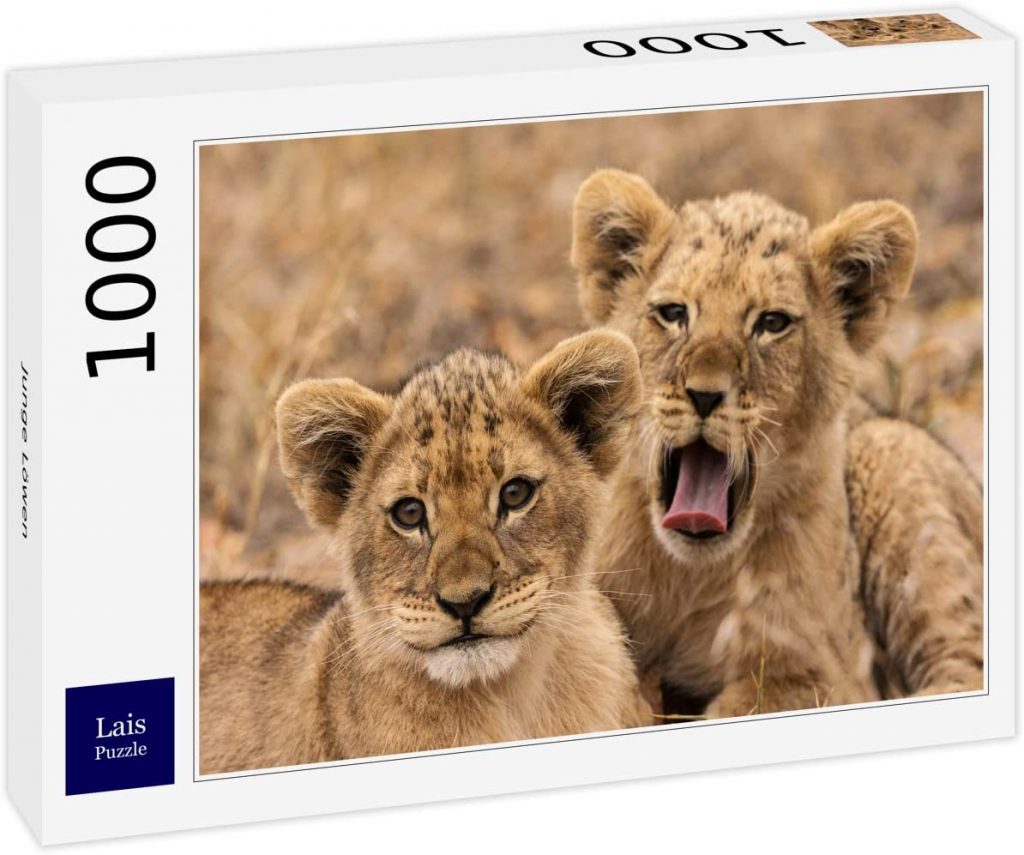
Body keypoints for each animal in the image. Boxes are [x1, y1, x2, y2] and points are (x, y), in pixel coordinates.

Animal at [570, 169, 983, 717]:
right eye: (673, 313)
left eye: (771, 323)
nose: (704, 395)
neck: (689, 577)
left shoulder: (822, 672)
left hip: (891, 451)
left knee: (965, 661)